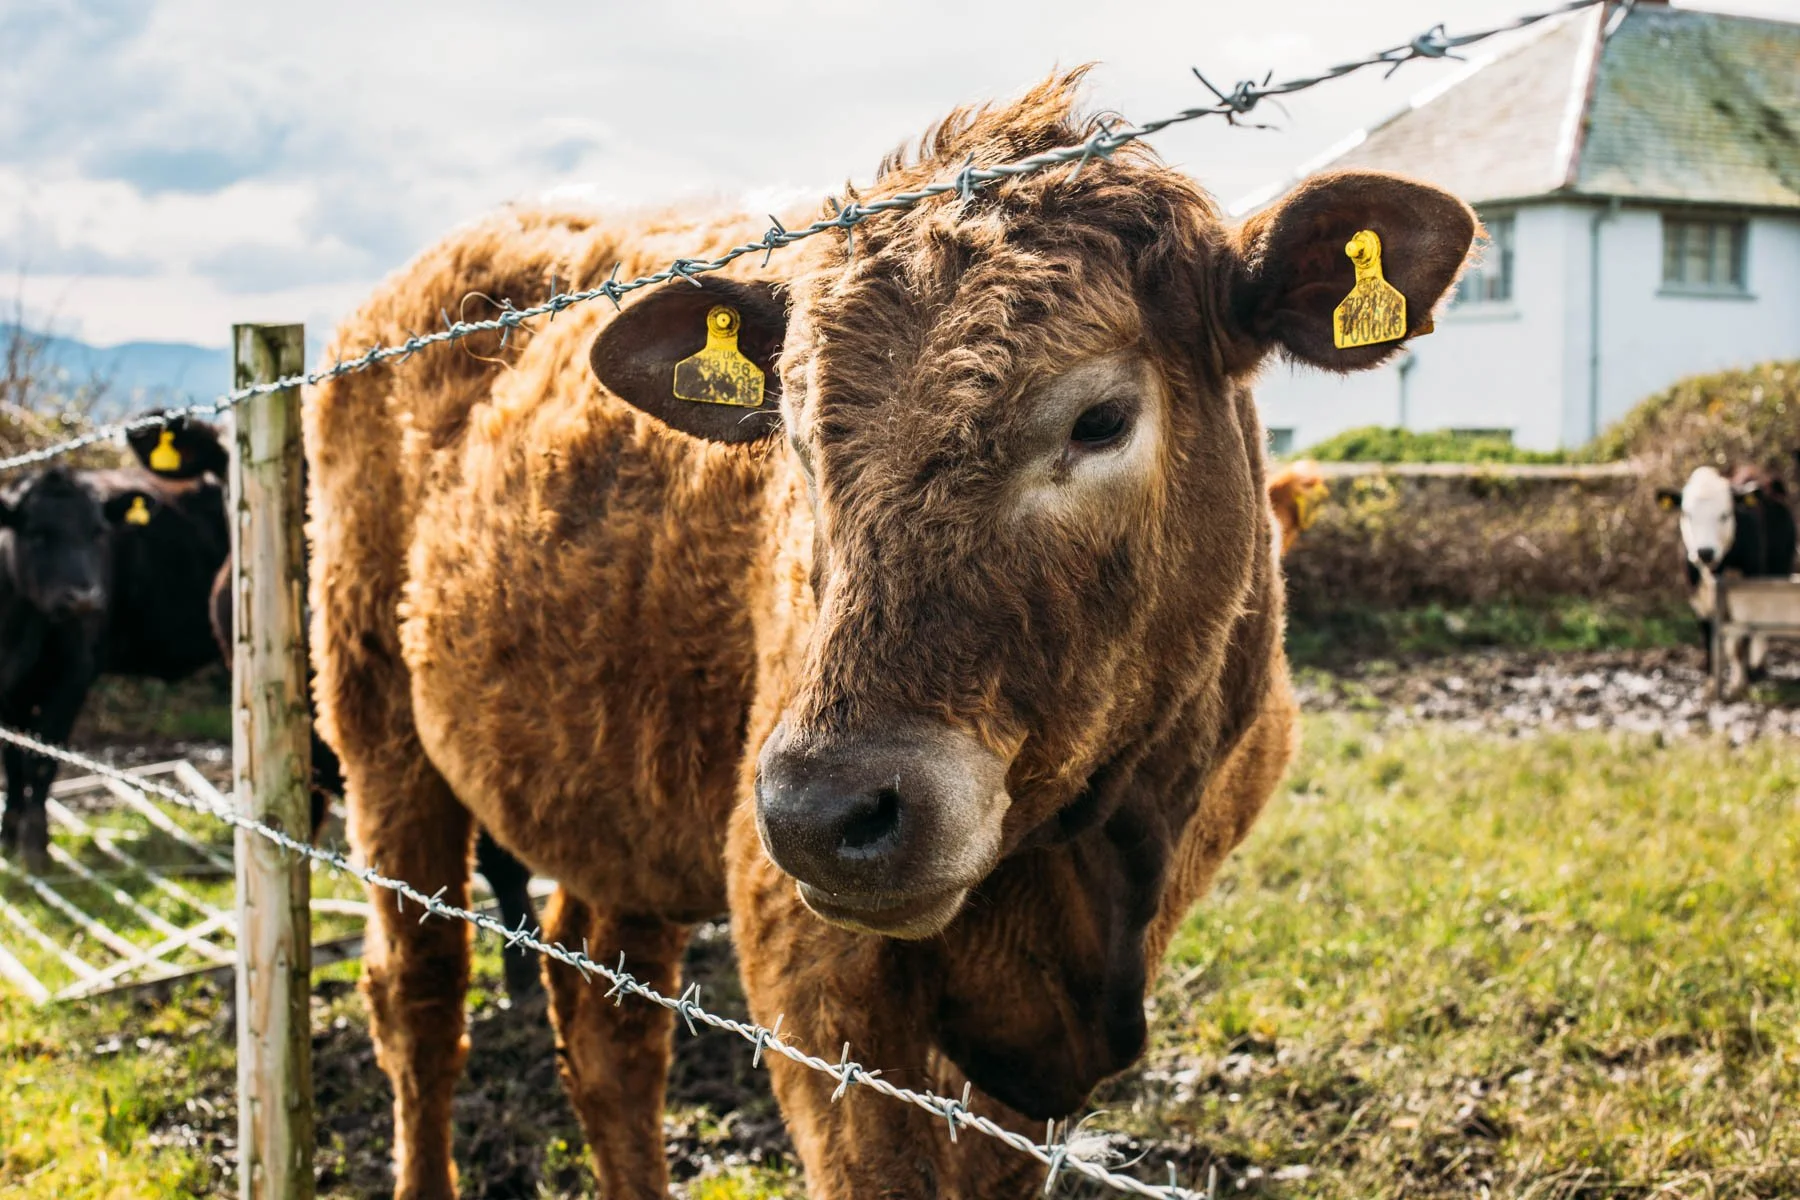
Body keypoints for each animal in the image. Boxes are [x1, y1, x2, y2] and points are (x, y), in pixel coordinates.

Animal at [0, 465, 214, 872]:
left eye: (97, 532)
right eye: (36, 534)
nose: (84, 598)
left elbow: (43, 757)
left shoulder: (74, 677)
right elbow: (13, 758)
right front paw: (9, 835)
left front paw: (36, 846)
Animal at [306, 73, 1475, 1198]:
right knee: (419, 994)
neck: (1089, 853)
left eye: (1102, 419)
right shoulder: (816, 971)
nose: (823, 815)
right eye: (793, 436)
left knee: (606, 1021)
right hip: (376, 727)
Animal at [1657, 461, 1798, 690]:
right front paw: (1711, 680)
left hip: (1777, 569)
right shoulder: (1697, 596)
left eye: (1724, 515)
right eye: (1687, 514)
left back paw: (1757, 667)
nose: (1705, 552)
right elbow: (1708, 634)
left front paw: (1741, 680)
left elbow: (1741, 638)